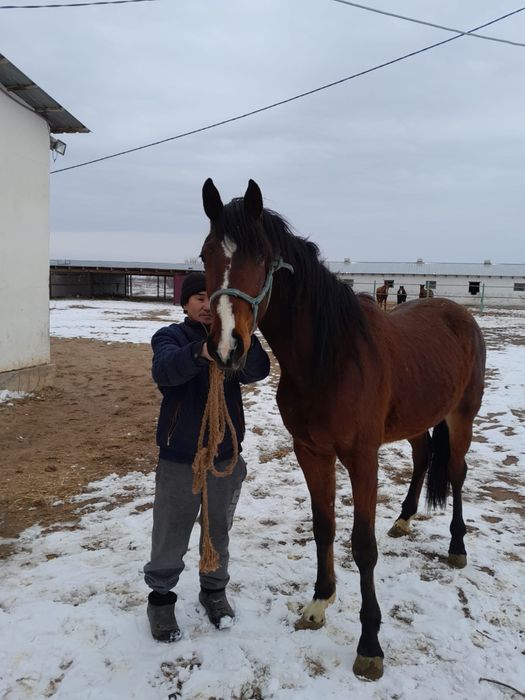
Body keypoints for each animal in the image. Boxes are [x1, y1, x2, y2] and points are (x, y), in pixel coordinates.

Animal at [200, 179, 486, 681]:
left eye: (261, 258)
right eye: (204, 256)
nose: (227, 347)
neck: (330, 359)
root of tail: (461, 314)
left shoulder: (361, 457)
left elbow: (363, 545)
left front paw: (370, 646)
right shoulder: (311, 452)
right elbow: (324, 527)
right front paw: (319, 603)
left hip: (462, 417)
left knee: (455, 472)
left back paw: (456, 546)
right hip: (416, 421)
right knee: (422, 458)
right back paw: (405, 518)